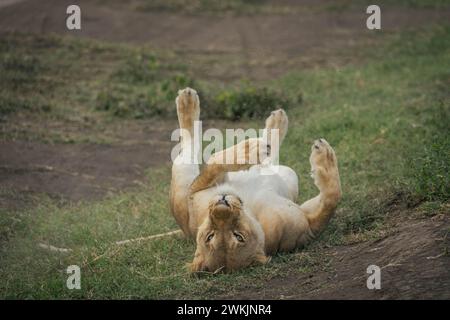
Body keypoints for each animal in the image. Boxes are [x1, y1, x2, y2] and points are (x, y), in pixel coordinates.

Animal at [169, 87, 342, 272]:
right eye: (210, 236)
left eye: (238, 236)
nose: (222, 203)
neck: (249, 208)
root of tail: (185, 230)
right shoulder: (306, 226)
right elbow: (332, 198)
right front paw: (324, 157)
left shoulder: (201, 190)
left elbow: (217, 162)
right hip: (182, 183)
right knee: (188, 145)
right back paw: (187, 102)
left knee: (267, 159)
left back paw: (275, 122)